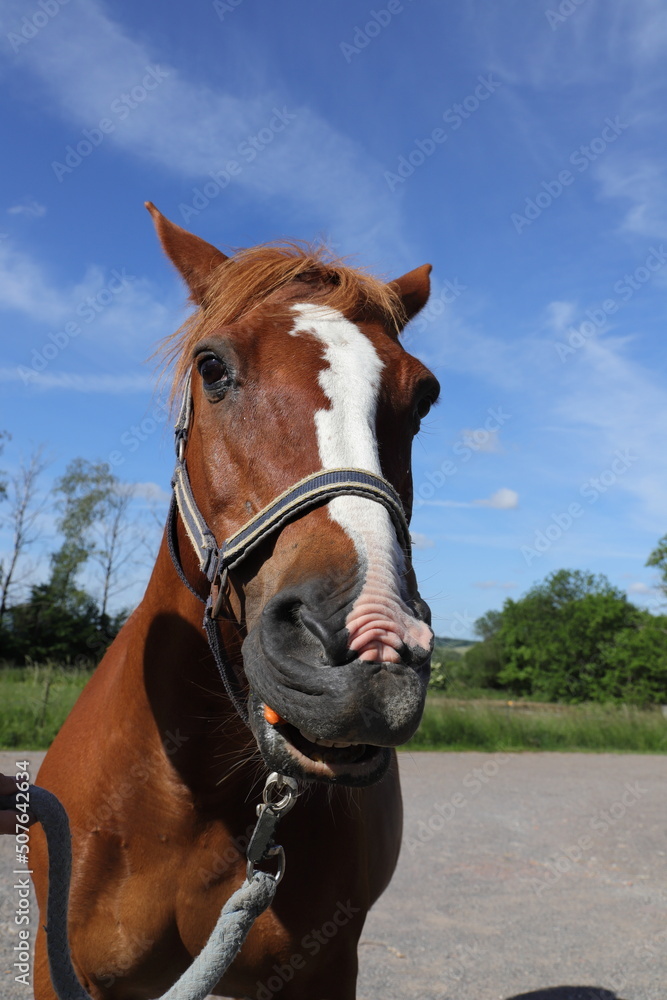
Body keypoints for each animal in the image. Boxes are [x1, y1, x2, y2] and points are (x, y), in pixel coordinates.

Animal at [30, 203, 440, 1000]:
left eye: (423, 397)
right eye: (212, 367)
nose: (371, 652)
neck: (189, 800)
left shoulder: (321, 970)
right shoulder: (59, 965)